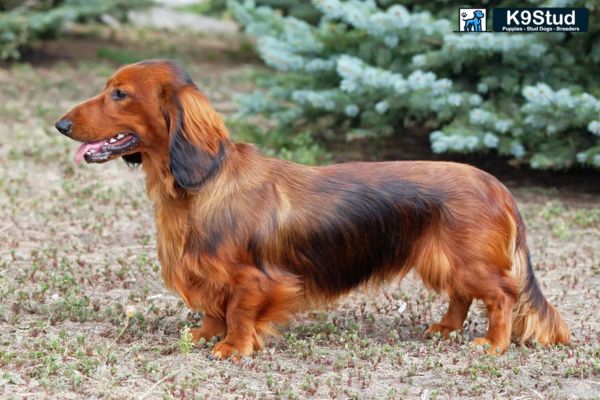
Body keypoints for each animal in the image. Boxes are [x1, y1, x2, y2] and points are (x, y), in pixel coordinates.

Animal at [55, 60, 568, 360]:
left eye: (120, 93)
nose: (60, 124)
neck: (202, 184)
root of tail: (496, 184)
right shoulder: (206, 273)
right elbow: (214, 306)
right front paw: (206, 333)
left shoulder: (253, 279)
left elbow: (237, 311)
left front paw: (233, 347)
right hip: (444, 259)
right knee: (462, 295)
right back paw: (446, 328)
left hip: (471, 262)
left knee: (501, 296)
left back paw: (493, 343)